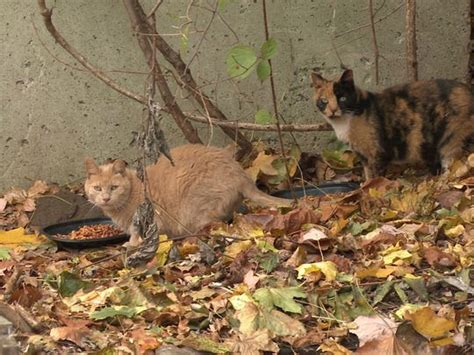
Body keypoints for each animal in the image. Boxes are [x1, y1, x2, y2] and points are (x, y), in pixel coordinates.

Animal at [85, 143, 292, 246]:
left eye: (113, 187)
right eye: (97, 188)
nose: (105, 198)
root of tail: (241, 174)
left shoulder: (149, 216)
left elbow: (138, 234)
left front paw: (132, 244)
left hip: (195, 207)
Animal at [312, 70, 474, 181]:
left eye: (342, 98)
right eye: (324, 100)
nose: (333, 110)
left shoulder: (377, 153)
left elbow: (376, 177)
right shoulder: (363, 156)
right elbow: (368, 175)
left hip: (451, 139)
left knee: (453, 166)